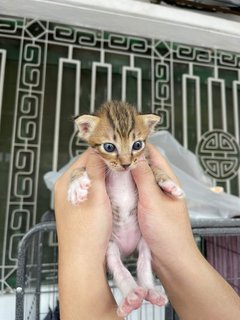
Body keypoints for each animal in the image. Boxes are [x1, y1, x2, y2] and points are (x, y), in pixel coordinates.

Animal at [67, 101, 184, 316]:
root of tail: (128, 249)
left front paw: (169, 184)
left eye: (137, 145)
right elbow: (79, 169)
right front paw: (76, 186)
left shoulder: (145, 162)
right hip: (111, 247)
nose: (126, 164)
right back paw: (132, 296)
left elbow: (154, 169)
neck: (121, 175)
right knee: (119, 268)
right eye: (109, 147)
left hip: (145, 242)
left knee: (143, 265)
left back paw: (151, 292)